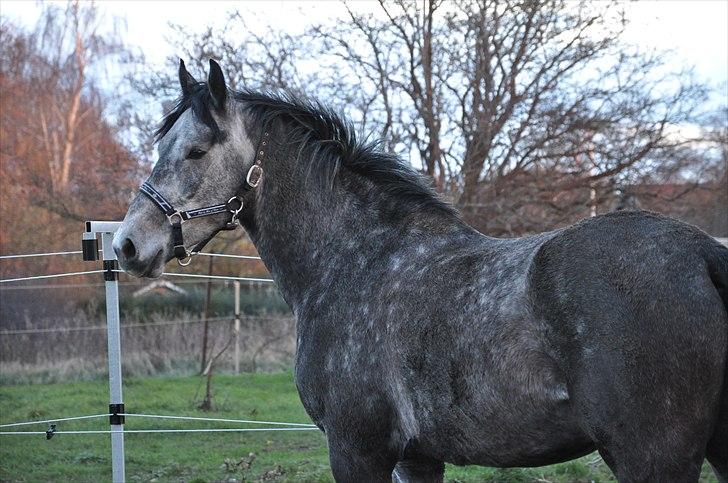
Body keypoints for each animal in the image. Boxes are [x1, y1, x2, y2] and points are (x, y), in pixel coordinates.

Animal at [114, 60, 728, 483]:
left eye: (195, 151)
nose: (127, 244)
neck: (359, 259)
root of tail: (704, 253)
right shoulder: (418, 458)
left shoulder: (358, 451)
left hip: (653, 458)